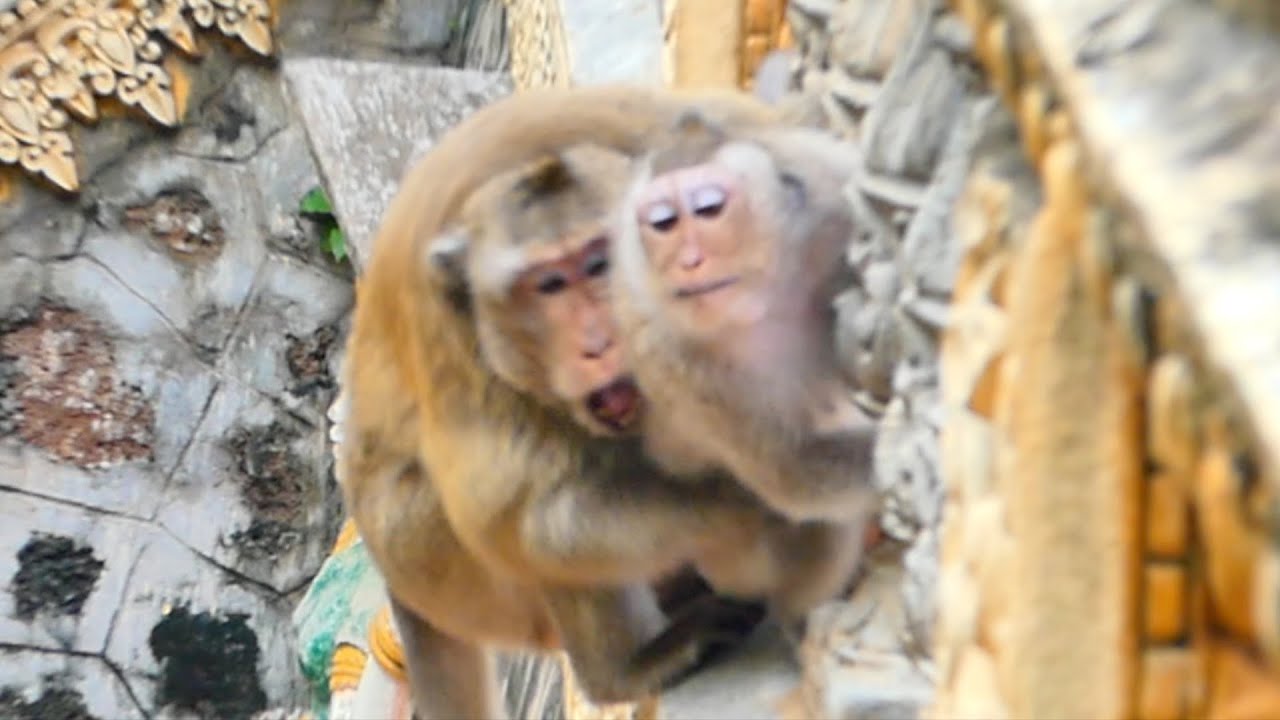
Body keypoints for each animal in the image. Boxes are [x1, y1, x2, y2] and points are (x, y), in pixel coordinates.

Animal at [340, 85, 799, 720]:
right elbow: (513, 514)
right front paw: (745, 499)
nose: (597, 343)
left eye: (600, 262)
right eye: (550, 285)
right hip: (434, 565)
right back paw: (625, 669)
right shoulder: (446, 325)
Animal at [608, 109, 881, 527]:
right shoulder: (673, 359)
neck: (771, 297)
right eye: (663, 223)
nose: (688, 262)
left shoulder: (832, 190)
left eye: (708, 209)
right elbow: (797, 469)